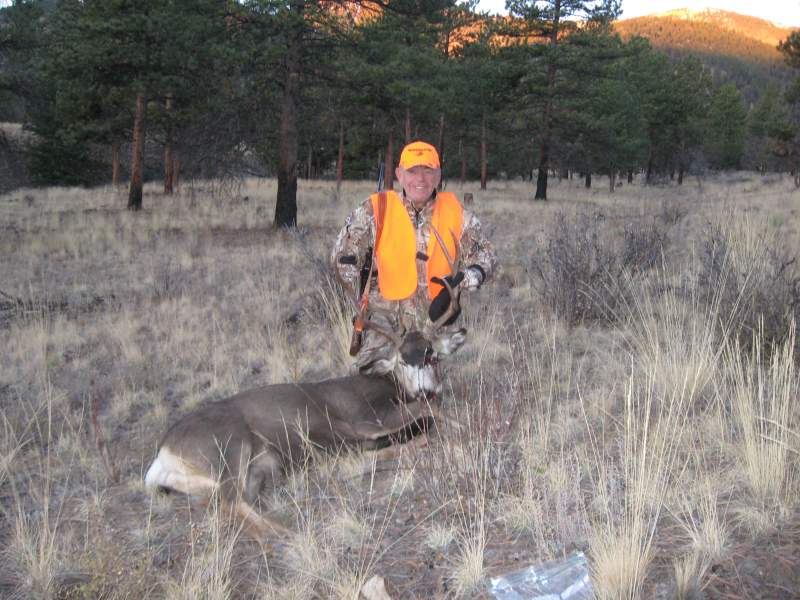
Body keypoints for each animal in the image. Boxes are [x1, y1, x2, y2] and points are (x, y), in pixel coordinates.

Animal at [147, 246, 466, 536]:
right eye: (402, 359)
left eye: (432, 354)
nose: (424, 388)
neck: (391, 386)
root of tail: (163, 454)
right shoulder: (363, 417)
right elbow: (425, 412)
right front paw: (456, 426)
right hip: (229, 445)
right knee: (231, 501)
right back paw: (287, 532)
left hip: (248, 470)